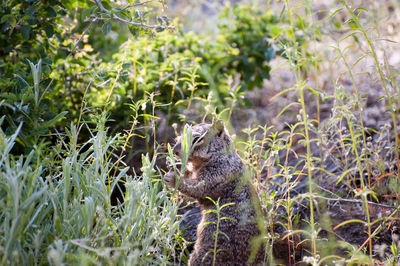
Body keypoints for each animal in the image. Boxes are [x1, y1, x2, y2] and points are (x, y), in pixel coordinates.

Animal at [163, 121, 266, 264]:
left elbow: (197, 188)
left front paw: (173, 179)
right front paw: (175, 165)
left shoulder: (218, 175)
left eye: (198, 139)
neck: (221, 156)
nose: (175, 151)